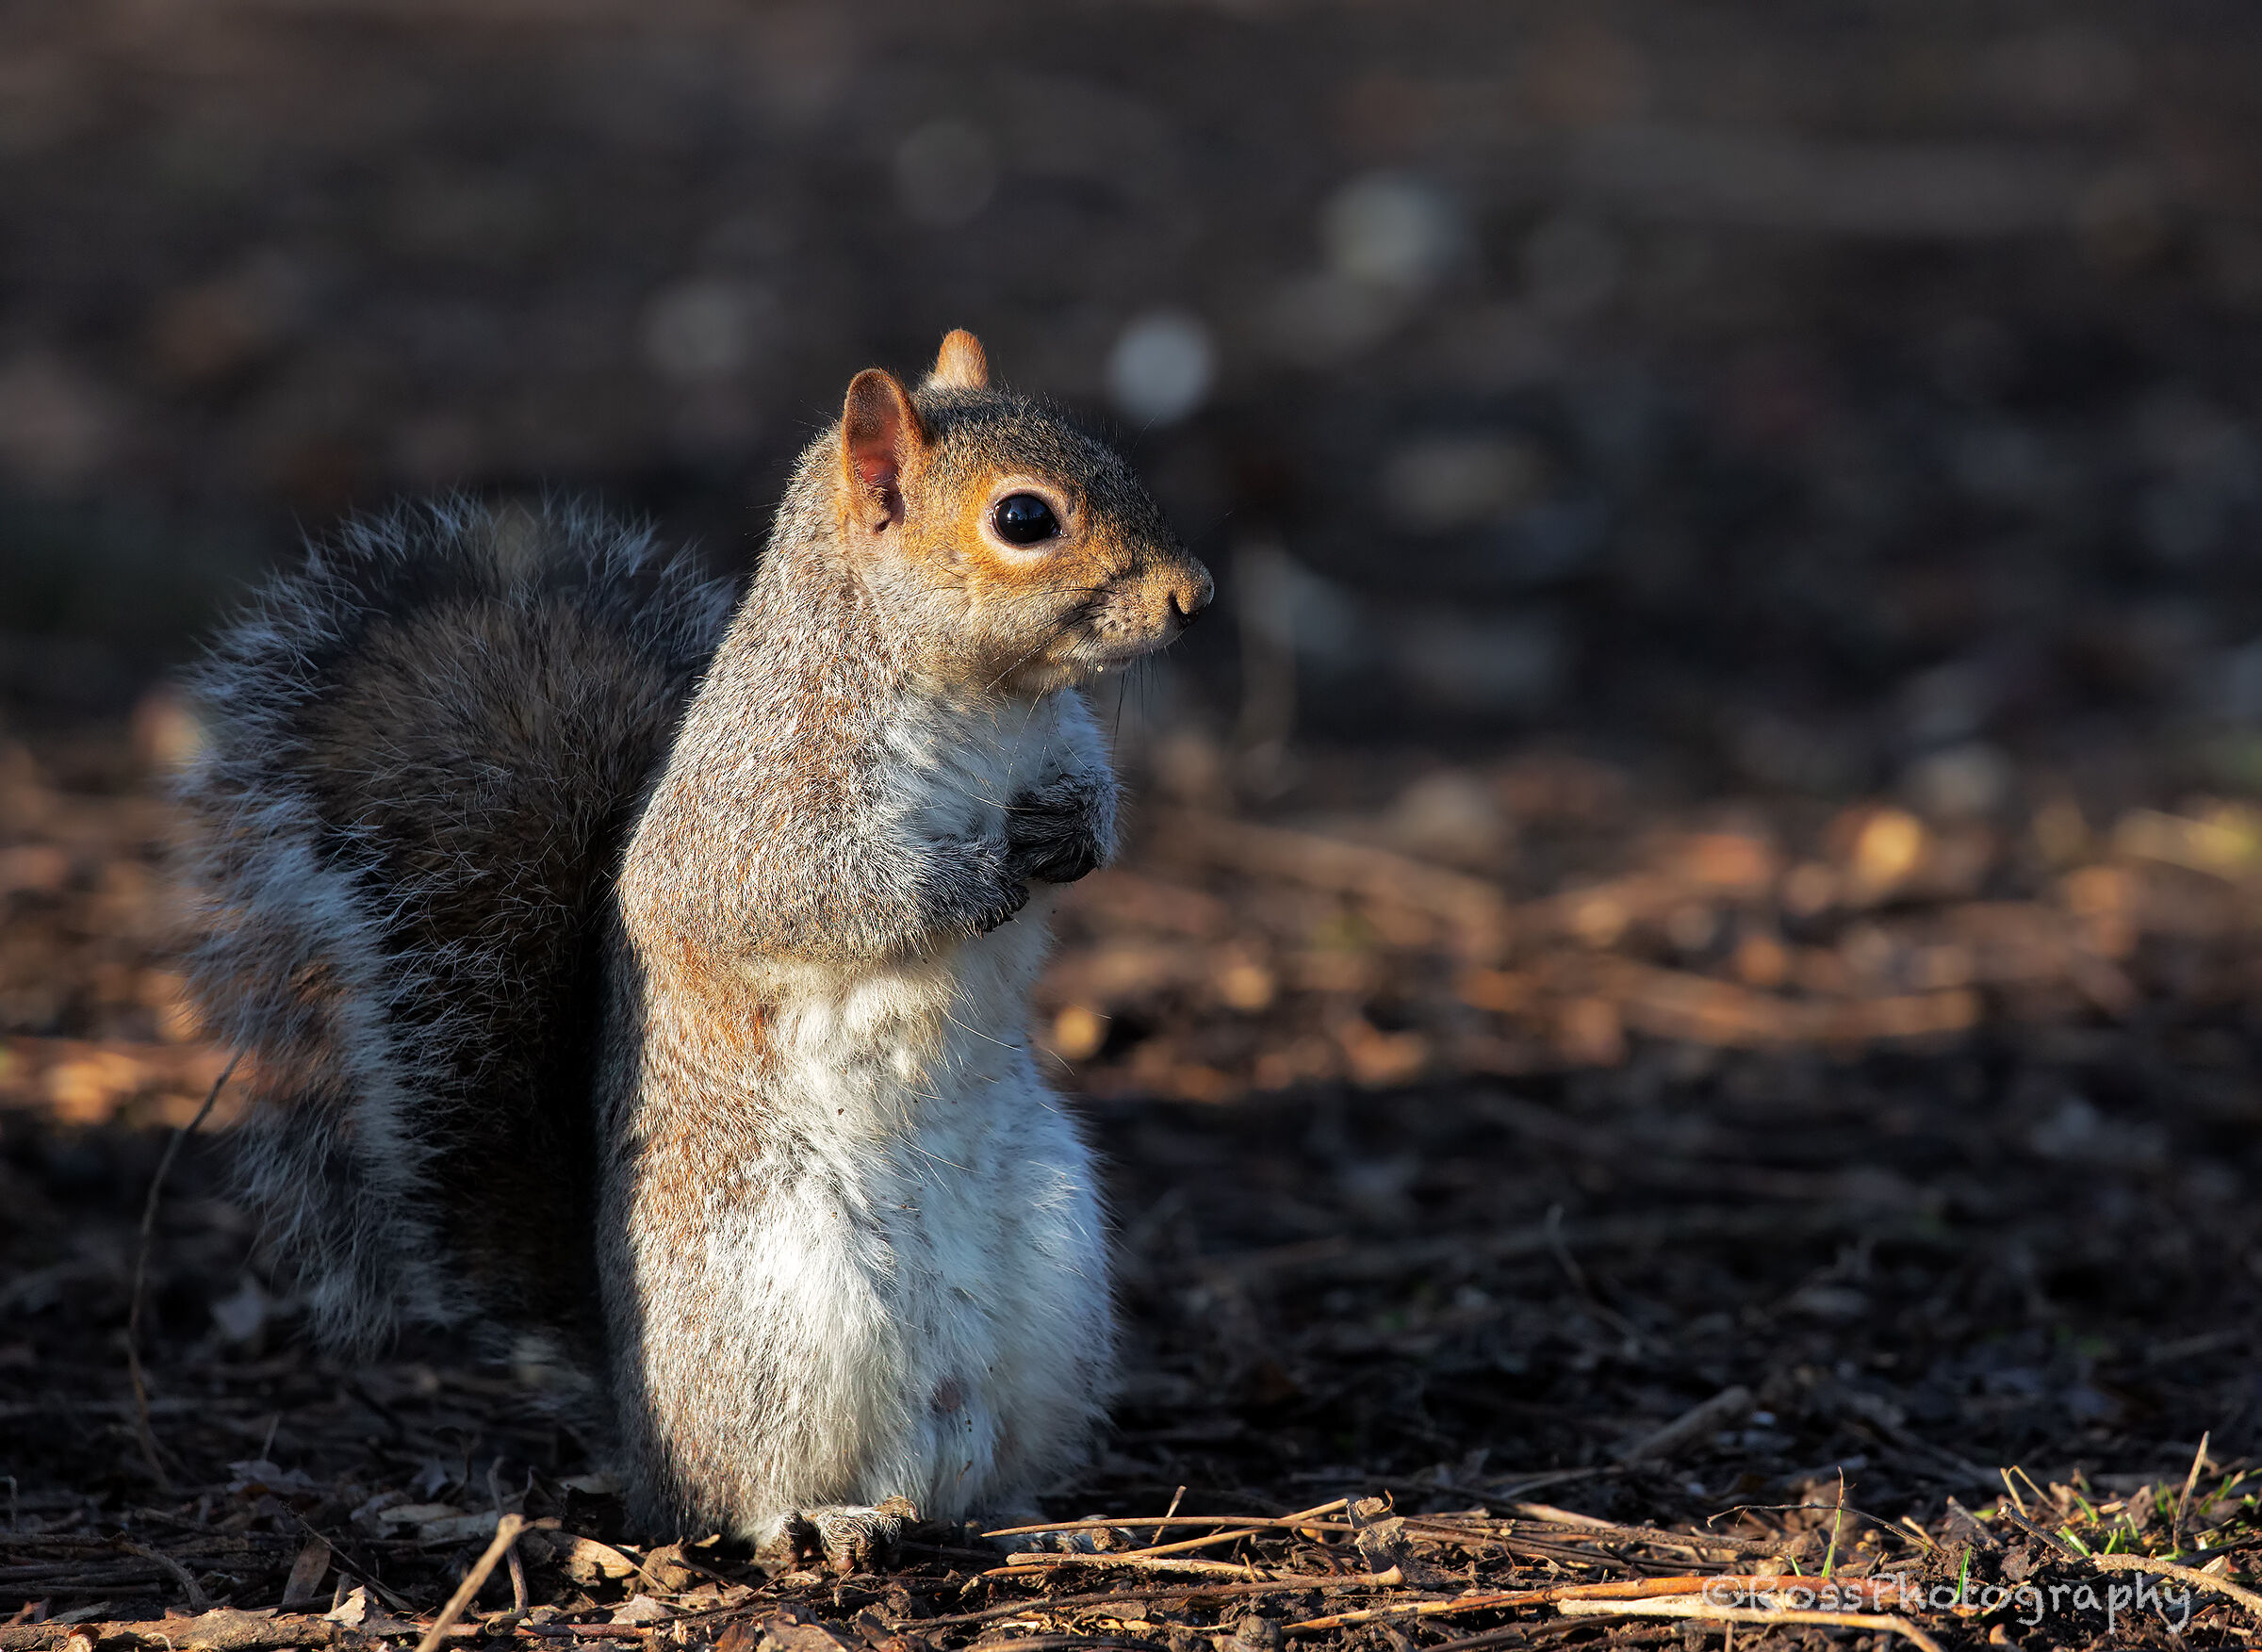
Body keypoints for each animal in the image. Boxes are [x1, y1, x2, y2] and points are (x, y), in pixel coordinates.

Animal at [177, 329, 1213, 1568]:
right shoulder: (756, 808)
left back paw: (1054, 1525)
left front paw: (1069, 833)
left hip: (1056, 1271)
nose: (1194, 596)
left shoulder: (1057, 739)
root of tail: (638, 1433)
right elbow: (797, 896)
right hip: (778, 1296)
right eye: (1023, 518)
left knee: (983, 1475)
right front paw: (967, 879)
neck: (988, 706)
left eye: (1108, 455)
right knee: (743, 1495)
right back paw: (828, 1518)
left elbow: (1089, 795)